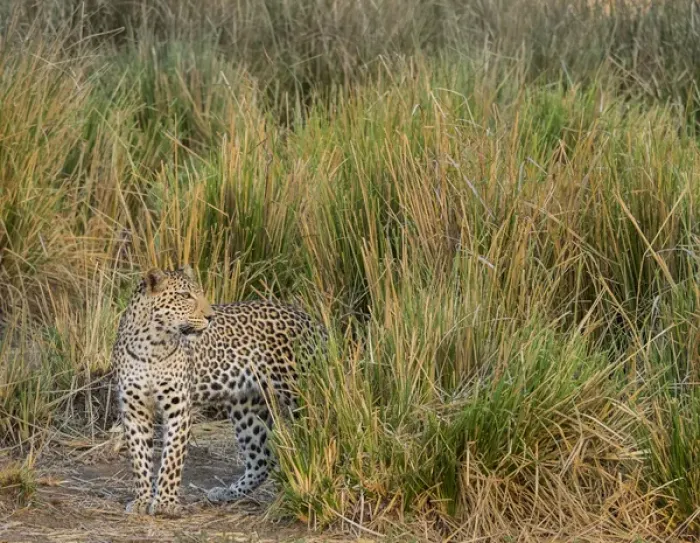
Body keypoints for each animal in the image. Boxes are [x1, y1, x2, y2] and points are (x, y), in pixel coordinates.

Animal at [111, 265, 325, 516]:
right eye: (185, 296)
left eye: (201, 294)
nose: (210, 317)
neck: (151, 346)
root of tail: (310, 320)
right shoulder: (134, 410)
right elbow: (139, 458)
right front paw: (143, 500)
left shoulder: (178, 408)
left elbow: (172, 458)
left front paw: (165, 503)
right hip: (247, 406)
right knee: (262, 458)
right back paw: (228, 492)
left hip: (301, 392)